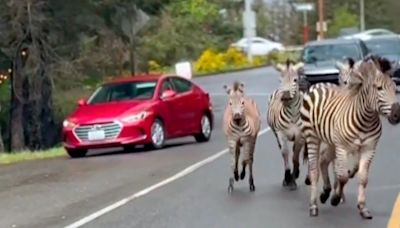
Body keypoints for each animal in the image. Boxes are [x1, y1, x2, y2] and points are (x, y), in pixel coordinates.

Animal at [268, 59, 308, 190]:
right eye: (280, 81)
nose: (285, 96)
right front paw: (287, 177)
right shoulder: (281, 133)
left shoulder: (300, 135)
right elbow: (285, 153)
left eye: (295, 80)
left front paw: (293, 178)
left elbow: (295, 156)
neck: (293, 115)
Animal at [300, 56, 400, 218]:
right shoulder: (342, 148)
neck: (365, 120)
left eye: (394, 87)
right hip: (312, 137)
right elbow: (342, 177)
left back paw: (325, 192)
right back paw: (314, 205)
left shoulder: (368, 149)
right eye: (379, 88)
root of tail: (319, 85)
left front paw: (362, 207)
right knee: (314, 169)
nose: (397, 115)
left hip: (331, 141)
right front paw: (335, 198)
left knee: (323, 160)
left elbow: (362, 178)